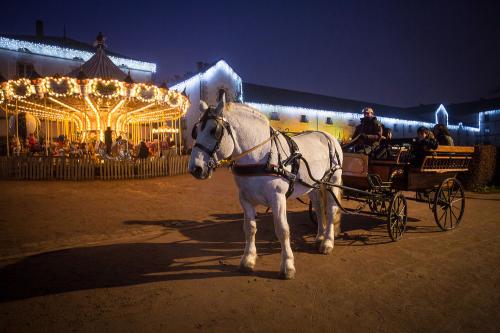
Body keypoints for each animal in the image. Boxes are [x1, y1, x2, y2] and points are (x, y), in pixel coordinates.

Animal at [188, 97, 344, 278]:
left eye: (214, 131)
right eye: (196, 131)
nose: (195, 169)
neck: (260, 156)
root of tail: (327, 136)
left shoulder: (278, 198)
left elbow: (283, 230)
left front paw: (287, 265)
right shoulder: (245, 199)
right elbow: (250, 228)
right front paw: (248, 259)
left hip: (333, 180)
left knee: (331, 209)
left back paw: (327, 242)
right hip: (313, 184)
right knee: (318, 208)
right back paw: (319, 236)